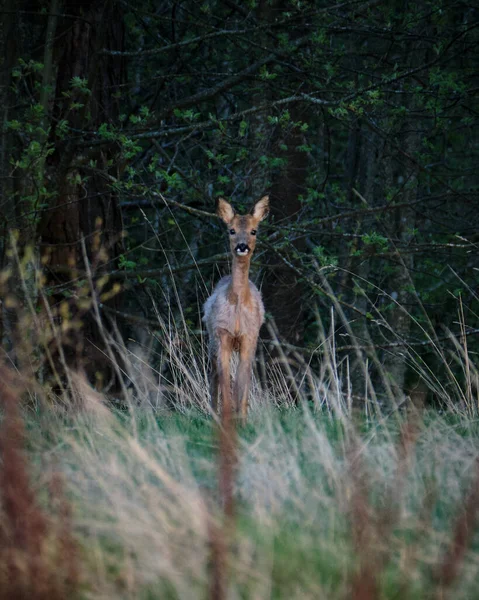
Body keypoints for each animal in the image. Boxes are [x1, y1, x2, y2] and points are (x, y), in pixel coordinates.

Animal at [202, 195, 270, 420]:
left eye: (254, 231)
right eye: (231, 230)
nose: (242, 246)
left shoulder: (250, 336)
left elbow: (243, 380)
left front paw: (242, 417)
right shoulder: (222, 334)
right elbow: (225, 380)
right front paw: (226, 416)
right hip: (212, 340)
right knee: (214, 376)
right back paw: (213, 412)